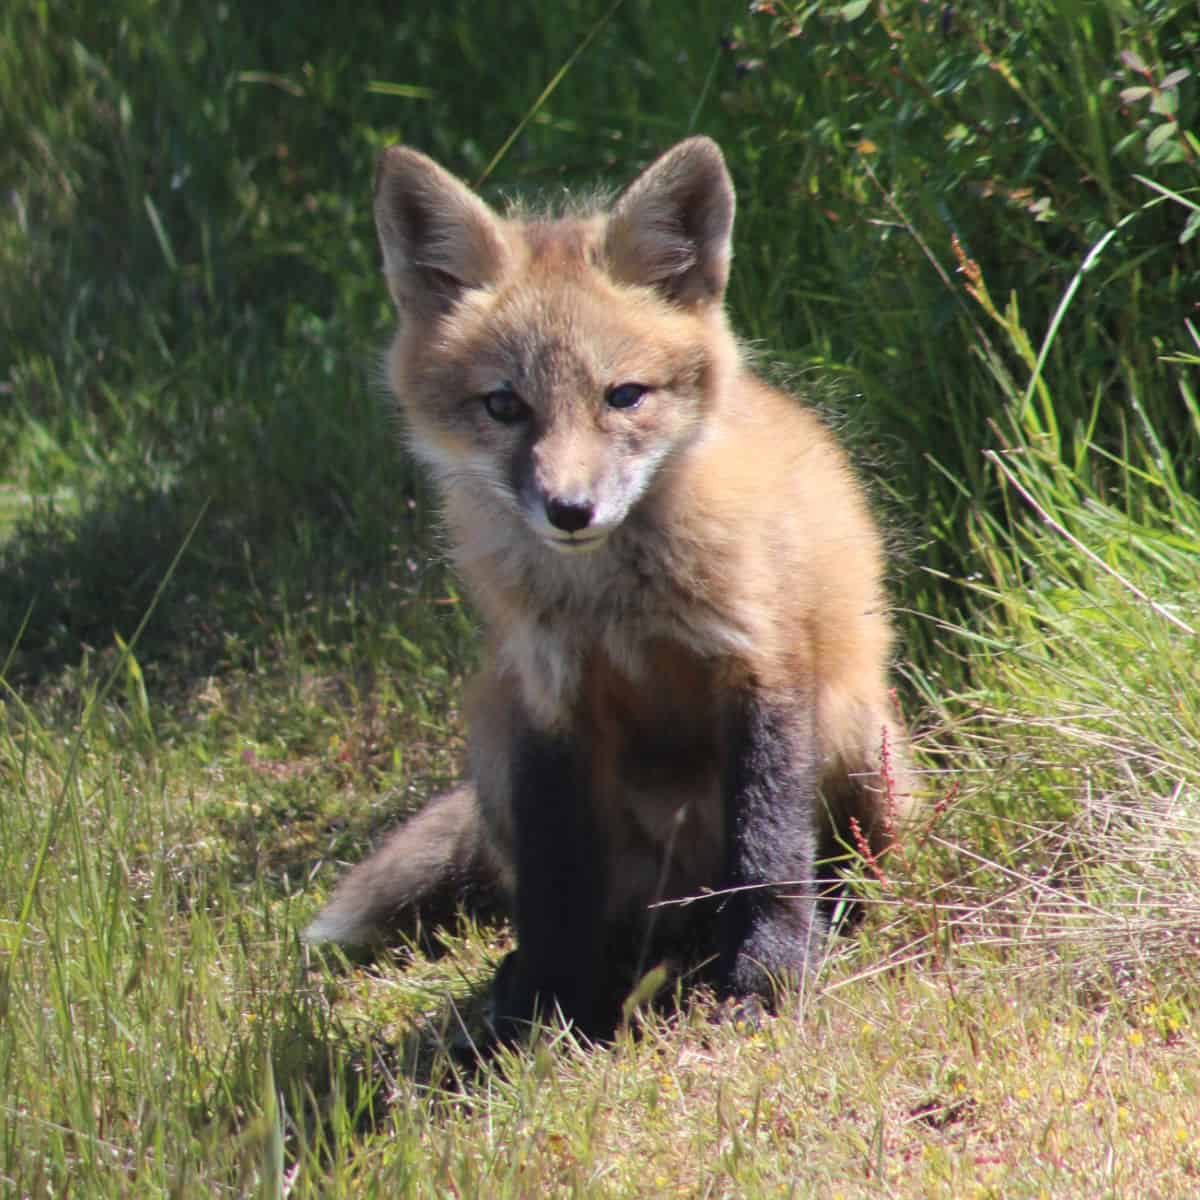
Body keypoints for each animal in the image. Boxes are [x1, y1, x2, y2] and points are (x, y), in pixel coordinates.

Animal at [304, 133, 912, 1041]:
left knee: (823, 865)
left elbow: (767, 846)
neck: (614, 603)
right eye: (504, 406)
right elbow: (556, 883)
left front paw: (769, 974)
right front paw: (553, 1002)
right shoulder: (552, 700)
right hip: (495, 736)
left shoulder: (760, 662)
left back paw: (826, 917)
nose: (570, 509)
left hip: (859, 736)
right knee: (616, 911)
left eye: (623, 396)